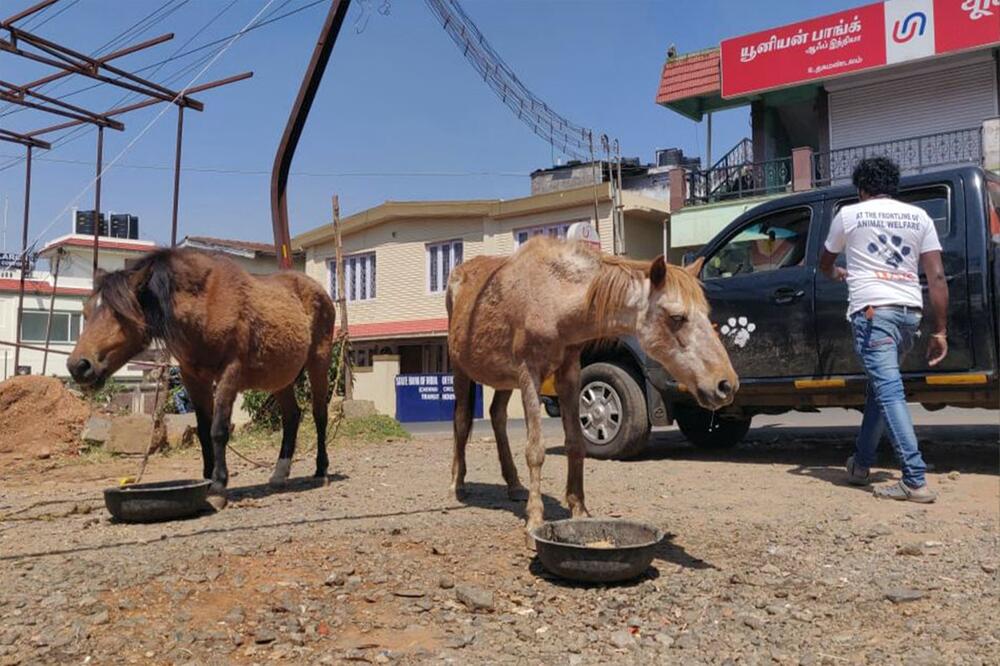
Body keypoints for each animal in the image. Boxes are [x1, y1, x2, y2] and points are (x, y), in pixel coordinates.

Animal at [69, 248, 340, 504]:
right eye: (86, 312)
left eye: (119, 314)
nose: (78, 366)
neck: (206, 304)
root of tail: (320, 292)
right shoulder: (194, 378)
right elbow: (202, 430)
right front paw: (207, 479)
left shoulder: (230, 373)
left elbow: (218, 430)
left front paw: (219, 483)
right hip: (279, 377)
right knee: (292, 416)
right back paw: (280, 474)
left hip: (319, 362)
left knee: (319, 415)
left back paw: (321, 471)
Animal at [450, 237, 740, 536]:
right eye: (677, 317)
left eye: (706, 314)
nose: (725, 384)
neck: (553, 299)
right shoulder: (528, 372)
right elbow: (535, 449)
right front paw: (535, 518)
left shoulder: (569, 373)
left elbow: (576, 443)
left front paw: (579, 509)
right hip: (460, 368)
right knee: (461, 420)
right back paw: (457, 485)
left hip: (504, 380)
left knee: (497, 416)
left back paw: (514, 484)